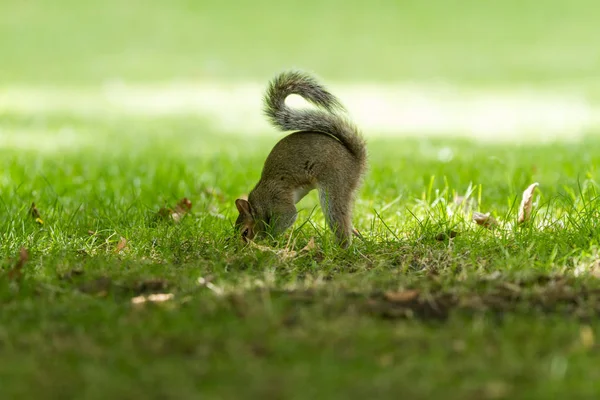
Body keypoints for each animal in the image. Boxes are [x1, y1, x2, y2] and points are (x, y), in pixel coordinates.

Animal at [233, 70, 366, 248]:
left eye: (245, 232)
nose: (241, 246)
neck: (259, 203)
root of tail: (356, 160)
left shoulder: (277, 200)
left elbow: (288, 216)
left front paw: (267, 240)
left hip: (334, 184)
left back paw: (341, 247)